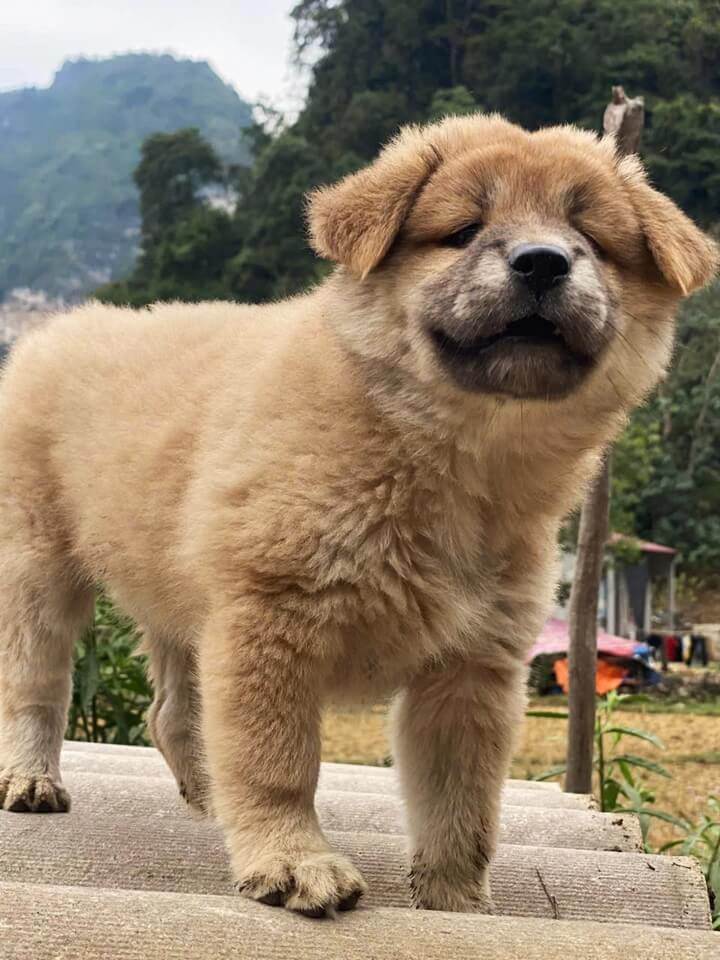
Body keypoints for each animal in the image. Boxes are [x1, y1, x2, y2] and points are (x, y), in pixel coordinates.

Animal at [0, 112, 716, 916]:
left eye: (588, 236)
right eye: (464, 231)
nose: (542, 263)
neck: (447, 458)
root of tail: (59, 327)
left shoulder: (471, 666)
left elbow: (462, 804)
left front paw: (456, 901)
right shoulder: (270, 619)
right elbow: (278, 761)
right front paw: (291, 858)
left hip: (181, 591)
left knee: (175, 714)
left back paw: (210, 798)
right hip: (38, 570)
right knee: (37, 685)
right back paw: (33, 778)